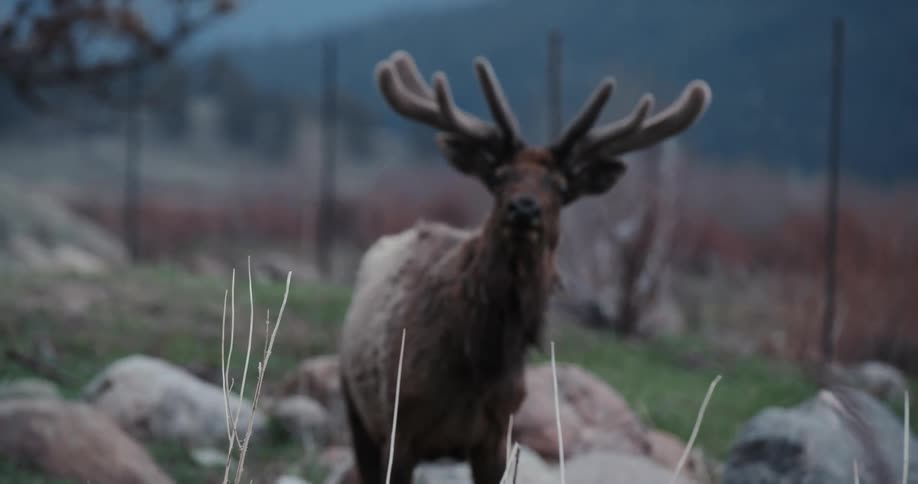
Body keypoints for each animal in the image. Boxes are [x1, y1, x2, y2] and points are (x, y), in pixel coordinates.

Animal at [338, 49, 711, 484]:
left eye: (562, 187)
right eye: (499, 177)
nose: (524, 207)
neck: (479, 361)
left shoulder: (497, 433)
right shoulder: (400, 425)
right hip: (356, 408)